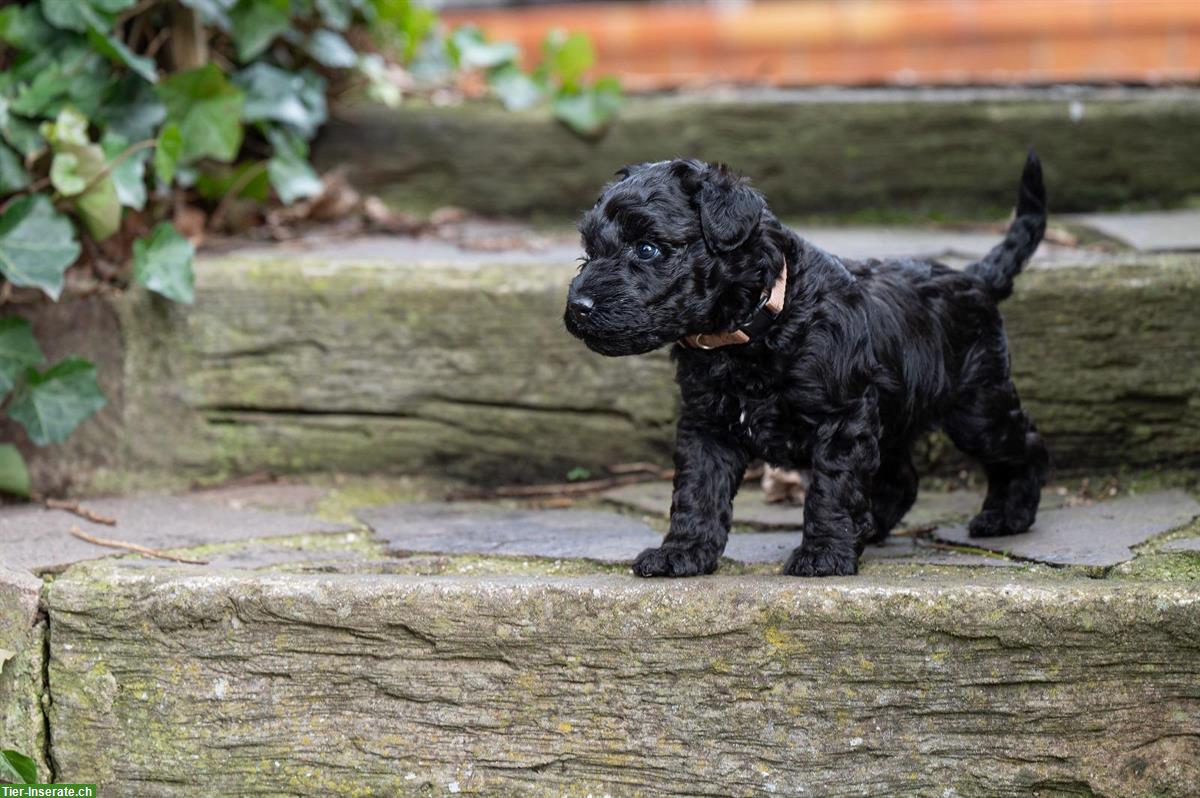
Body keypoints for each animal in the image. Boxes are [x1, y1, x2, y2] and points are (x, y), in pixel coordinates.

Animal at [566, 152, 1046, 576]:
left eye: (647, 248)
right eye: (588, 249)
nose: (577, 307)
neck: (760, 323)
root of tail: (975, 277)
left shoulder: (843, 418)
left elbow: (832, 488)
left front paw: (824, 554)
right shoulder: (706, 425)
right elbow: (697, 492)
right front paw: (682, 552)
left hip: (976, 406)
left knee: (1024, 444)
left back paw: (1007, 516)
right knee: (901, 477)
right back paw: (871, 527)